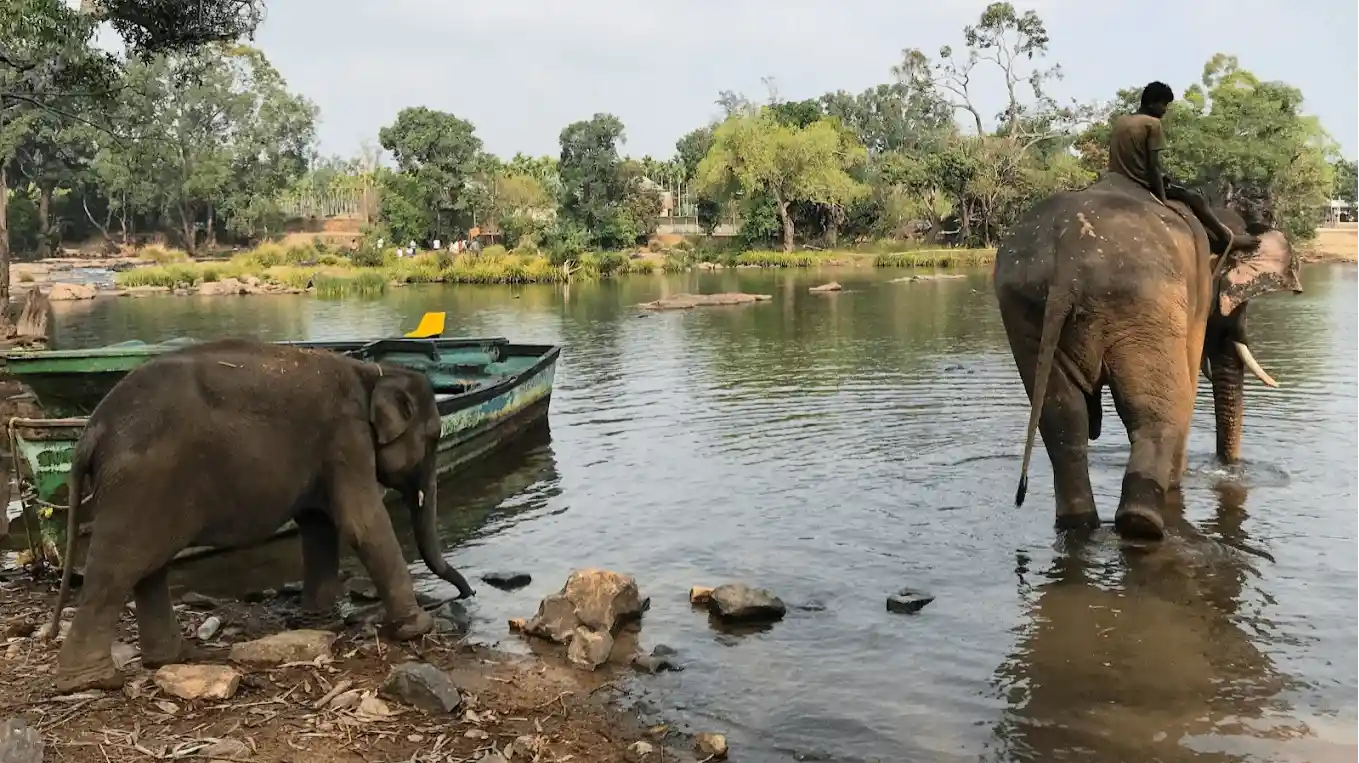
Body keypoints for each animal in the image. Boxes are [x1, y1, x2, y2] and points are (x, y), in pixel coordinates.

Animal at [46, 338, 476, 694]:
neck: (373, 372)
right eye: (434, 436)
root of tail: (91, 429)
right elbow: (361, 523)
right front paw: (416, 629)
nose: (467, 593)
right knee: (119, 566)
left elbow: (318, 524)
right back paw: (92, 681)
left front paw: (319, 616)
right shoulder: (346, 438)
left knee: (149, 568)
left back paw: (170, 659)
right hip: (140, 484)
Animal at [993, 173, 1301, 540]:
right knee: (1151, 411)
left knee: (1063, 420)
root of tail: (1067, 265)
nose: (1228, 468)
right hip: (1142, 302)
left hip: (1025, 309)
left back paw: (1079, 524)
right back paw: (1142, 524)